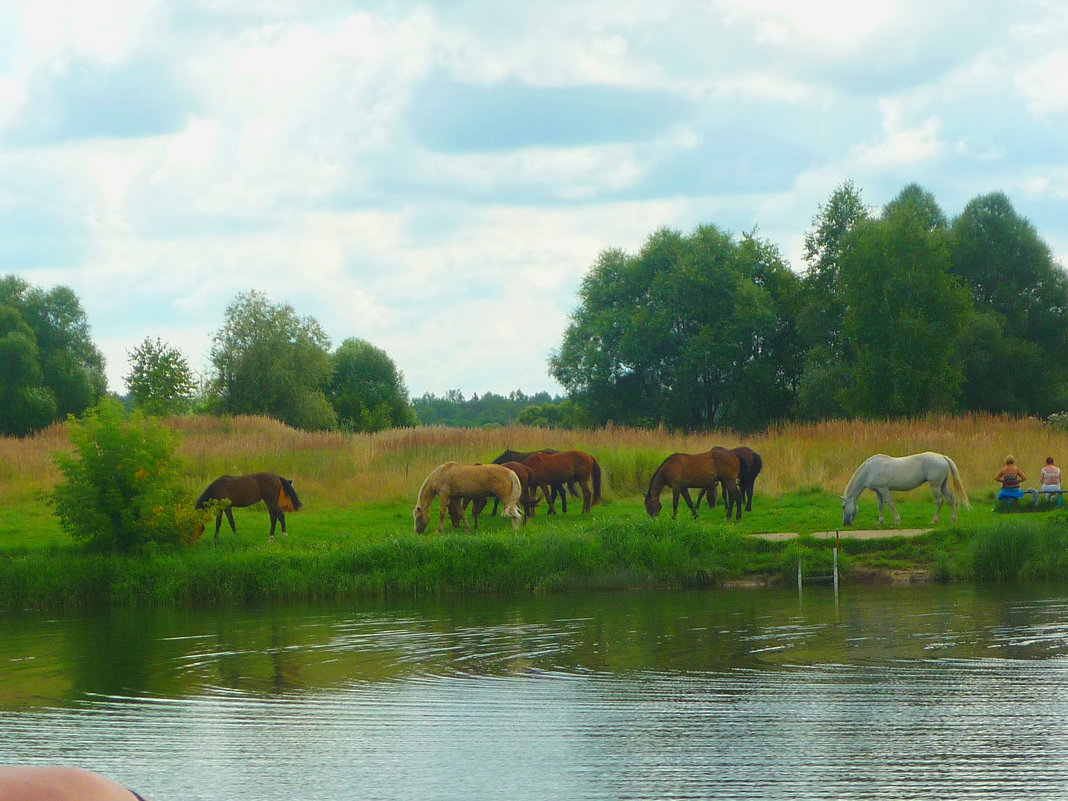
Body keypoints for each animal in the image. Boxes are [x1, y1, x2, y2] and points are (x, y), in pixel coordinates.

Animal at [837, 454, 974, 529]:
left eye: (843, 507)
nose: (845, 524)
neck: (869, 470)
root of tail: (942, 457)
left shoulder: (884, 489)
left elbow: (890, 504)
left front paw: (897, 521)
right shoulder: (878, 491)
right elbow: (880, 506)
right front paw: (880, 522)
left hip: (935, 485)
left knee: (939, 501)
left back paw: (934, 520)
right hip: (942, 485)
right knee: (951, 499)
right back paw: (953, 519)